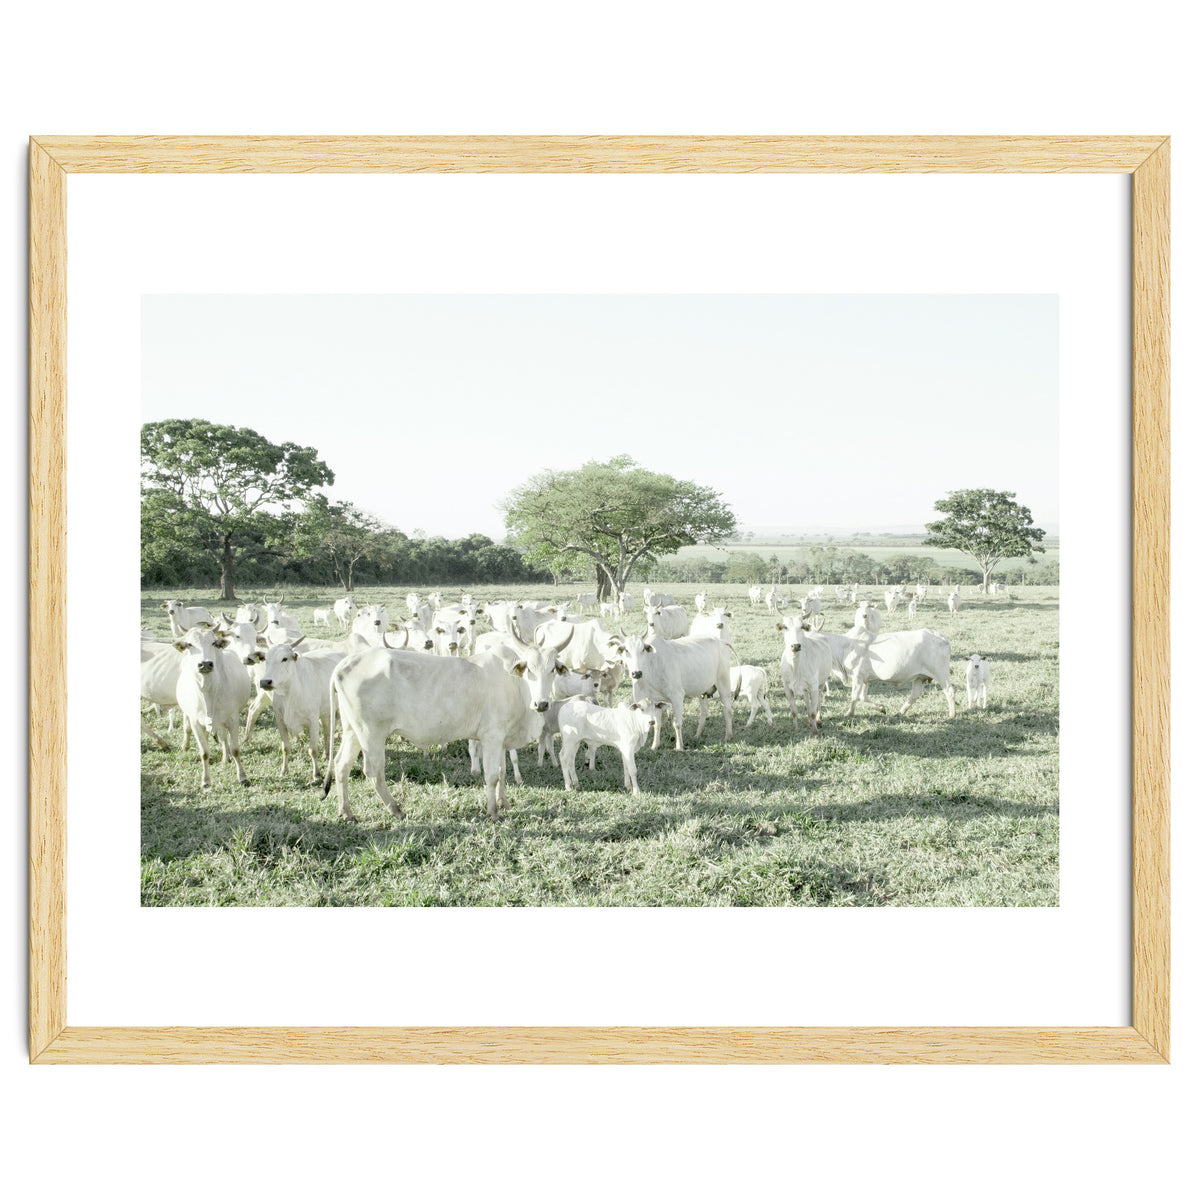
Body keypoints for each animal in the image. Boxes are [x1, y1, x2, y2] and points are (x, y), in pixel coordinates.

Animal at [173, 625, 254, 788]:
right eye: (189, 644)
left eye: (213, 643)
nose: (205, 664)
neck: (209, 692)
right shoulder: (196, 722)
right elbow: (204, 752)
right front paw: (205, 781)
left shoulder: (232, 719)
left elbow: (235, 749)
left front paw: (242, 777)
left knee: (223, 737)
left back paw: (226, 757)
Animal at [324, 626, 574, 821]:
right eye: (529, 669)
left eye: (553, 669)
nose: (541, 704)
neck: (515, 685)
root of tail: (346, 663)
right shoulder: (491, 736)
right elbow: (492, 775)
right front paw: (493, 812)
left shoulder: (502, 738)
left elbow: (503, 772)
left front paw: (504, 803)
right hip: (371, 733)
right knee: (374, 771)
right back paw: (396, 810)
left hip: (352, 731)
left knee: (341, 764)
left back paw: (346, 812)